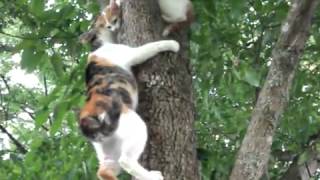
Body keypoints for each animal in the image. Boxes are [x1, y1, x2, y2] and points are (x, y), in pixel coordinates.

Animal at [79, 38, 180, 179]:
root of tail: (87, 116)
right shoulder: (133, 53)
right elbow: (155, 45)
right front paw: (173, 44)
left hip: (108, 150)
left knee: (103, 171)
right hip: (135, 125)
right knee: (126, 161)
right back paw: (153, 176)